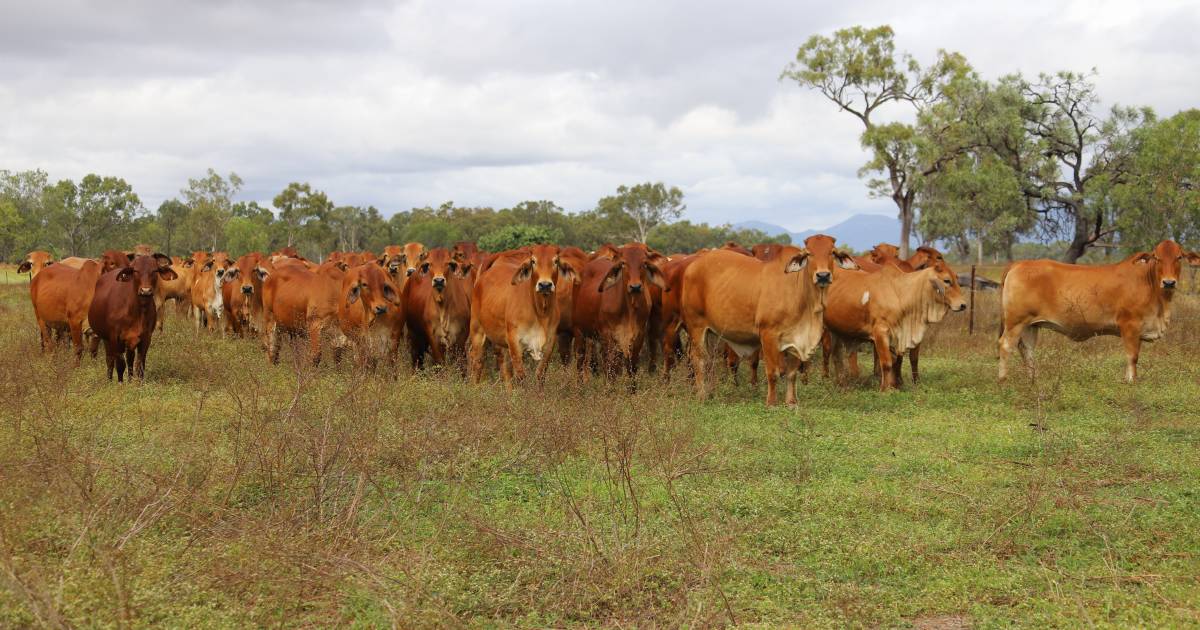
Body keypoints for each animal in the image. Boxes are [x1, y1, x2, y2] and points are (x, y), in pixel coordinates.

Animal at [87, 253, 176, 381]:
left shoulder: (145, 338)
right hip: (105, 338)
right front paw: (120, 383)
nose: (145, 291)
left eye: (155, 270)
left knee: (129, 360)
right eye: (135, 270)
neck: (137, 312)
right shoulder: (115, 338)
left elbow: (139, 364)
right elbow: (120, 364)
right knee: (110, 360)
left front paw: (137, 382)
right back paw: (109, 380)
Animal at [468, 243, 576, 386]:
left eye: (556, 261)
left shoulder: (550, 342)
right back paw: (474, 387)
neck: (540, 312)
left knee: (504, 367)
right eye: (533, 261)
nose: (545, 285)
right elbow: (521, 376)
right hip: (477, 331)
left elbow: (540, 374)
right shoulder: (514, 341)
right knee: (477, 360)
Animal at [571, 241, 667, 379]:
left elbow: (632, 368)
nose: (635, 287)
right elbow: (610, 370)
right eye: (623, 263)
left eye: (644, 263)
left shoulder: (638, 336)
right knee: (581, 362)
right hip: (579, 331)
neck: (630, 309)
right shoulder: (608, 336)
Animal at [681, 232, 859, 405]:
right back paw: (702, 395)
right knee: (699, 360)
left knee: (710, 361)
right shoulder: (768, 335)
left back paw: (711, 393)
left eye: (832, 252)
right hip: (696, 327)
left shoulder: (796, 338)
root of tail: (693, 265)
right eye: (809, 253)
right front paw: (772, 403)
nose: (823, 275)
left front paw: (791, 402)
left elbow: (792, 373)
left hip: (712, 333)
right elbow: (772, 372)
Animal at [825, 260, 964, 388]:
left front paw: (895, 385)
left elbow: (898, 362)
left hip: (837, 331)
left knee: (837, 356)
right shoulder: (880, 332)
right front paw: (886, 389)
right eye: (947, 280)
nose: (963, 305)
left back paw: (842, 384)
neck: (901, 293)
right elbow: (887, 363)